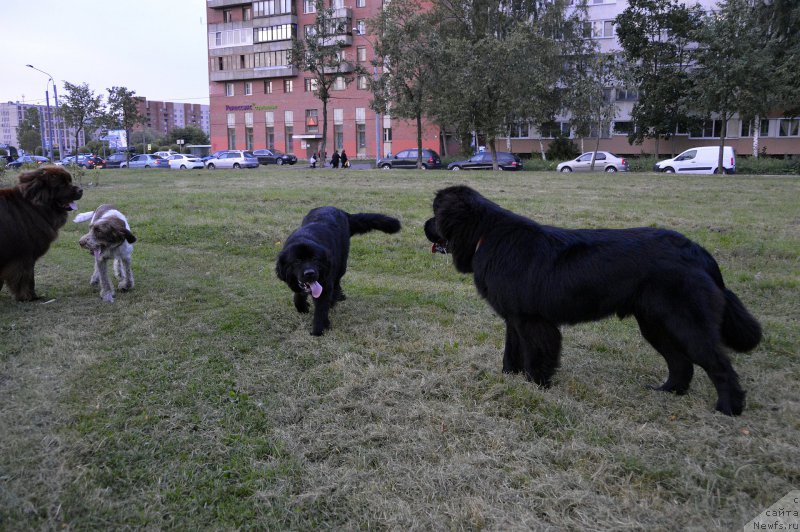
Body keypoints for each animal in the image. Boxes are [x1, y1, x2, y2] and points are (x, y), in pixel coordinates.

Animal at [0, 166, 82, 300]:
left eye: (69, 181)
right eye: (62, 184)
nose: (81, 190)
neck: (34, 207)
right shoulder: (24, 255)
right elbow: (26, 277)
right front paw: (29, 297)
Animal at [276, 206, 400, 334]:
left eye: (315, 259)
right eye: (297, 261)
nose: (310, 273)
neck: (305, 237)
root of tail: (342, 211)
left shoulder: (325, 285)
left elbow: (321, 309)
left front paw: (318, 331)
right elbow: (298, 296)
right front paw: (302, 307)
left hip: (342, 263)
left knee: (337, 281)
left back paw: (335, 298)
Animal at [422, 186, 760, 416]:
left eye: (436, 214)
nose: (424, 226)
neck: (485, 236)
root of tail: (699, 252)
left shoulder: (532, 320)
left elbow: (536, 355)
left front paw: (535, 385)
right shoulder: (514, 318)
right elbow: (511, 352)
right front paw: (509, 378)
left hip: (686, 321)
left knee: (718, 364)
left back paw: (728, 408)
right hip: (655, 323)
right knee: (681, 362)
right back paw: (668, 391)